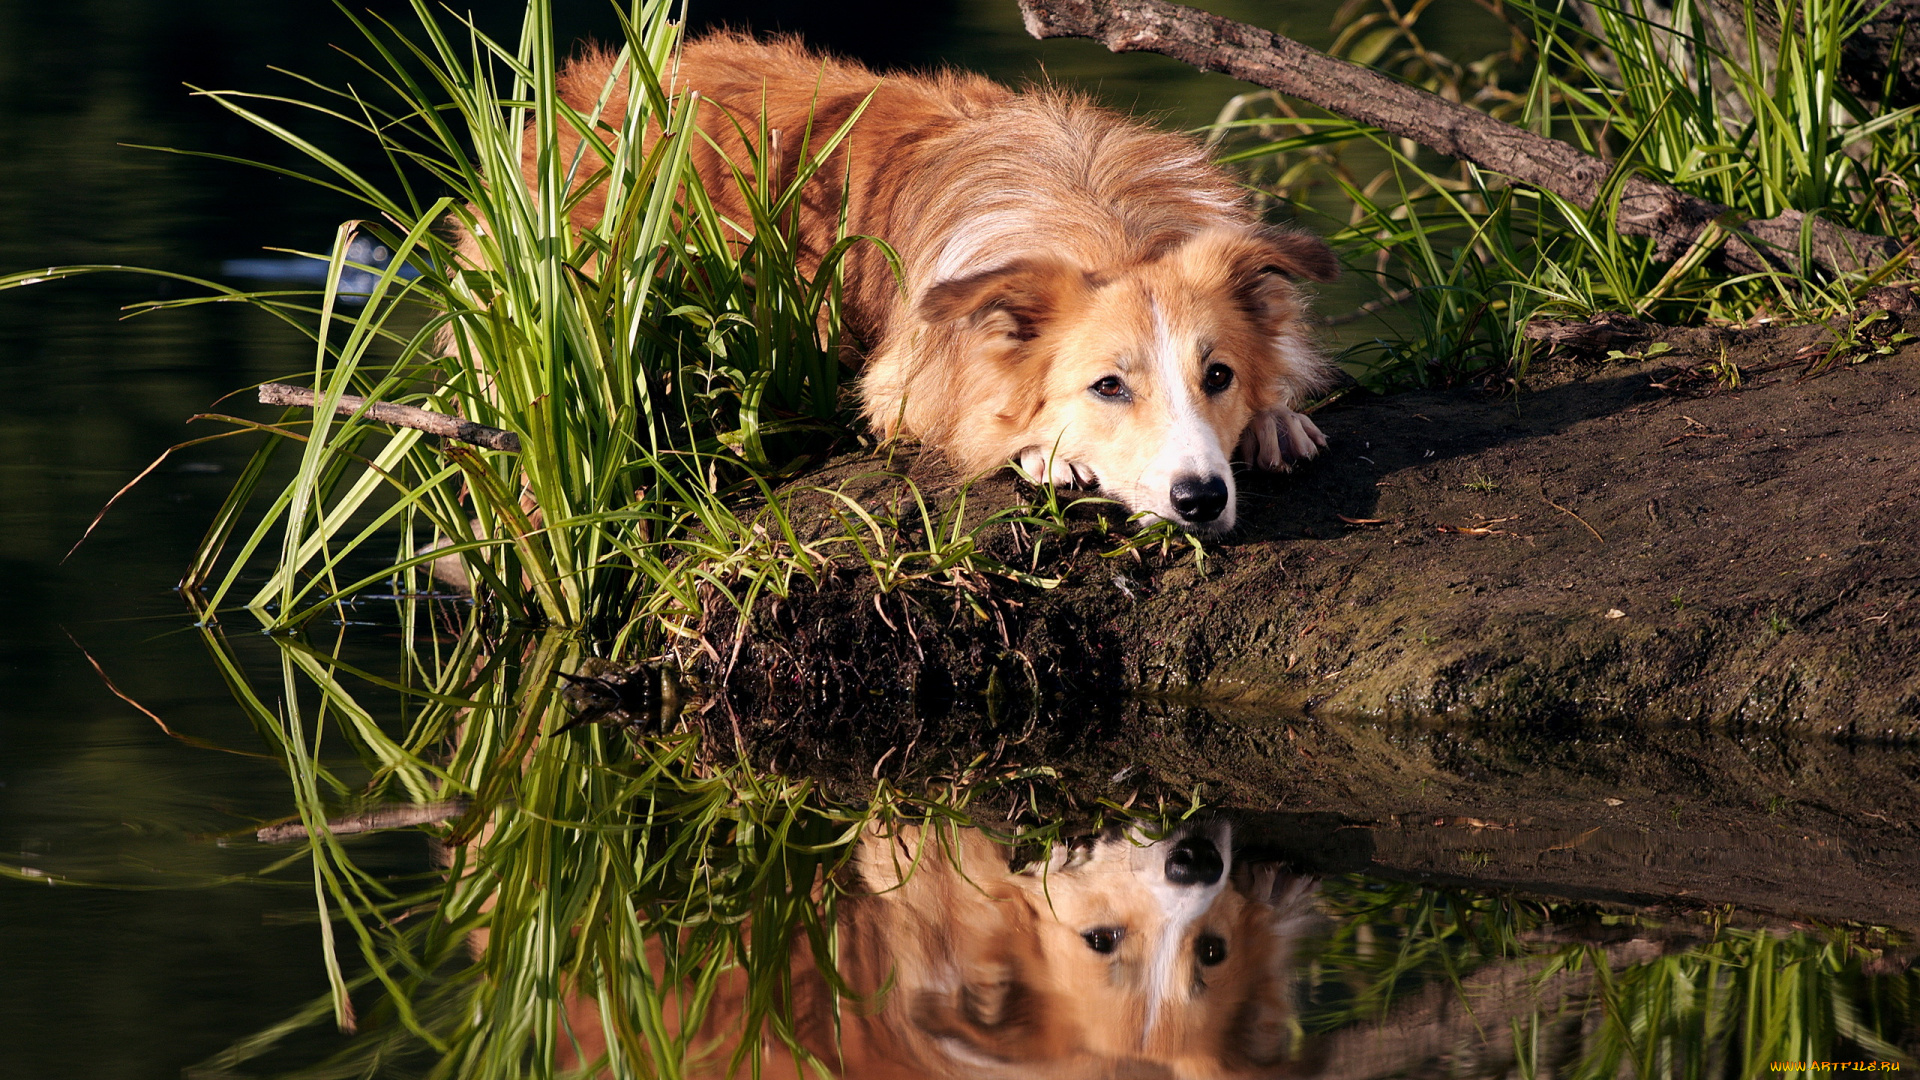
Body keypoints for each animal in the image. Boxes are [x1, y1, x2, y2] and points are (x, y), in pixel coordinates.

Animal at [526, 35, 1336, 530]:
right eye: (1108, 387)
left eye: (1219, 376)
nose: (1201, 500)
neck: (1104, 221)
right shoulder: (899, 387)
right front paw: (1050, 451)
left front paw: (1275, 415)